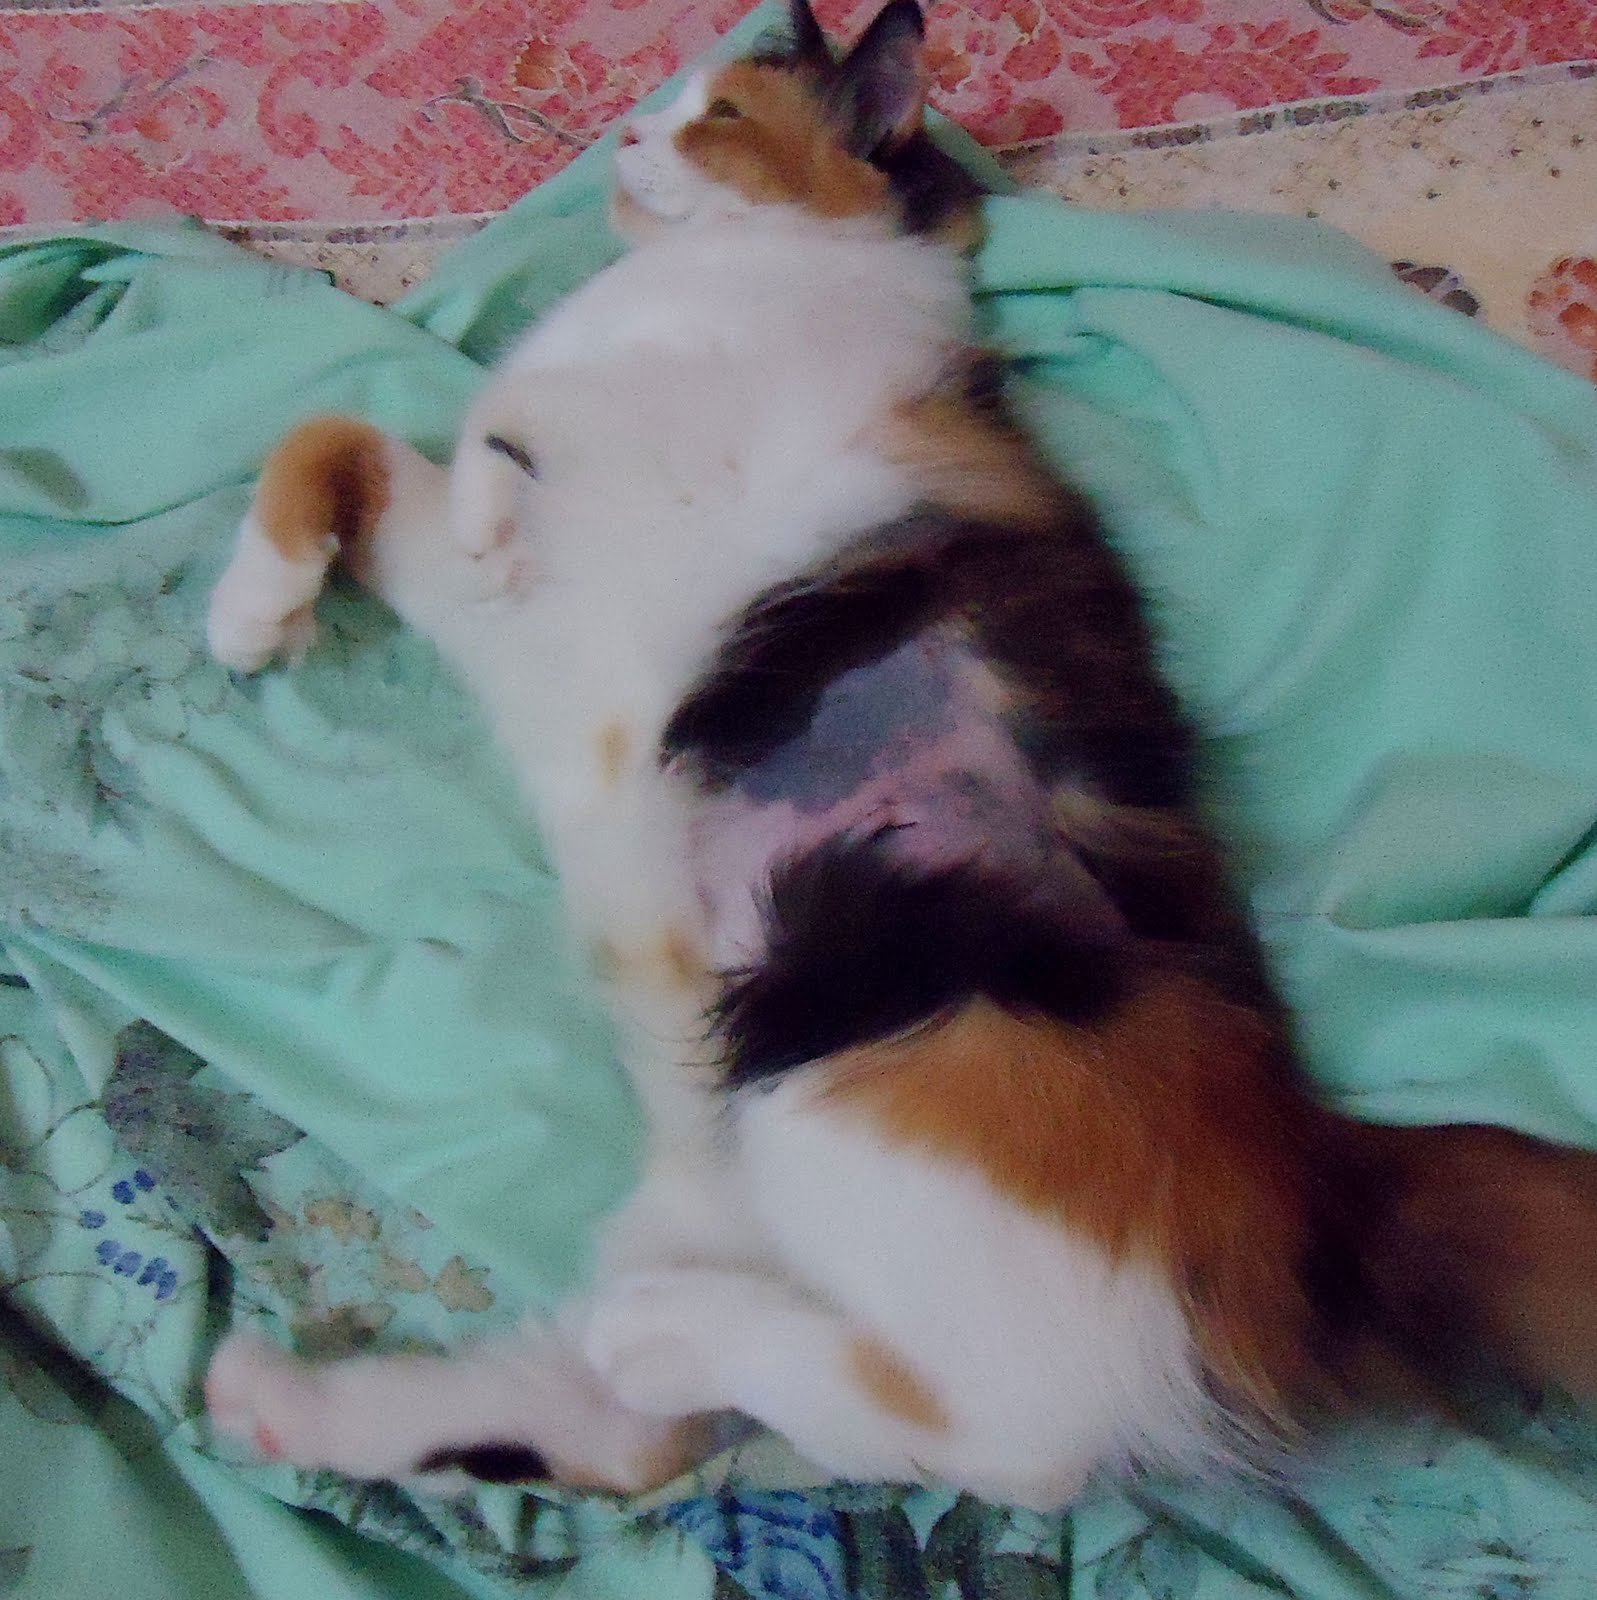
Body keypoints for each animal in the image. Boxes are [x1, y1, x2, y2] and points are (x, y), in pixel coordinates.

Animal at [202, 0, 1597, 1512]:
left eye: (720, 117)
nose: (624, 135)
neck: (744, 270)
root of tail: (1320, 1177)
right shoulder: (517, 611)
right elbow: (336, 433)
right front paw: (255, 609)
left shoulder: (686, 412)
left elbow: (495, 417)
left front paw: (431, 521)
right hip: (731, 1160)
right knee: (621, 1438)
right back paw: (275, 1399)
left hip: (858, 1025)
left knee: (999, 1435)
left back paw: (663, 1334)